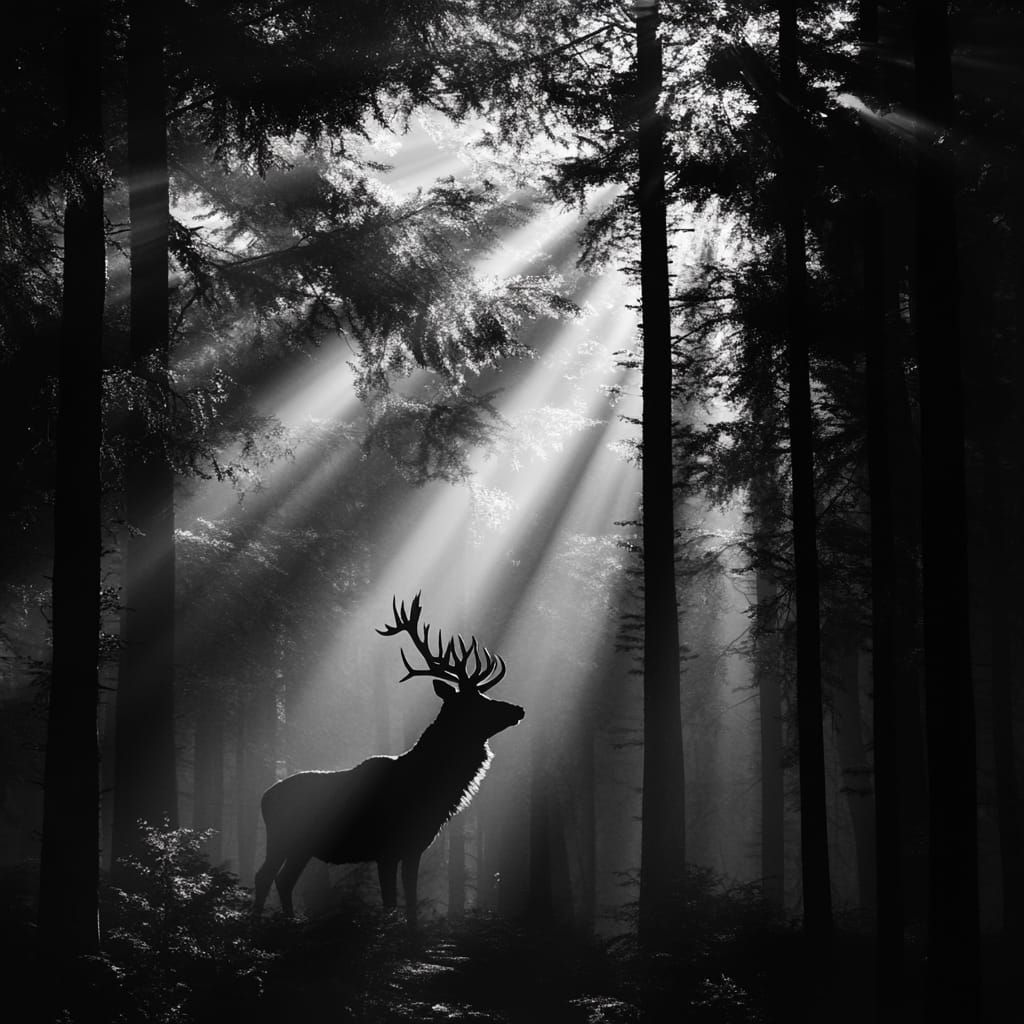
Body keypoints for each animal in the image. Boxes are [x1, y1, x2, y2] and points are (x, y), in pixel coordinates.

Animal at [252, 593, 524, 928]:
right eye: (476, 701)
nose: (518, 709)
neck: (432, 792)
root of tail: (264, 797)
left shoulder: (414, 847)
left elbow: (411, 903)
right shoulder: (386, 849)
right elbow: (391, 903)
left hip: (301, 847)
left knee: (284, 880)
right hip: (281, 837)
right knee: (264, 876)